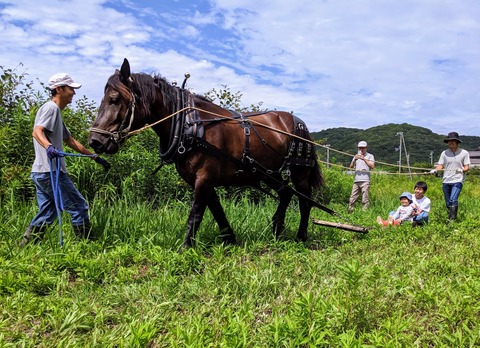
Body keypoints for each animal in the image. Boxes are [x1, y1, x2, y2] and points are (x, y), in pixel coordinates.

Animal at [88, 58, 324, 249]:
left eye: (114, 99)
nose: (95, 141)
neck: (189, 125)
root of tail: (298, 122)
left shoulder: (205, 176)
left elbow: (196, 213)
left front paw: (185, 248)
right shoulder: (201, 179)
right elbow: (216, 210)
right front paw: (230, 238)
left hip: (299, 171)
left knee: (305, 201)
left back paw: (301, 236)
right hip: (268, 172)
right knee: (285, 194)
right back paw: (277, 228)